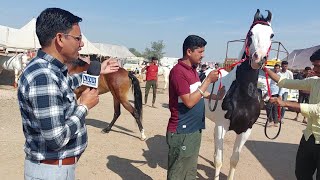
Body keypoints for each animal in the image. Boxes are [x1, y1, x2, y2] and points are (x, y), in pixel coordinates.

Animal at [204, 9, 274, 180]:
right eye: (250, 33)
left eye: (271, 35)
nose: (258, 58)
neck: (244, 94)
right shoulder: (221, 126)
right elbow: (219, 160)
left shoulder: (245, 130)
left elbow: (234, 159)